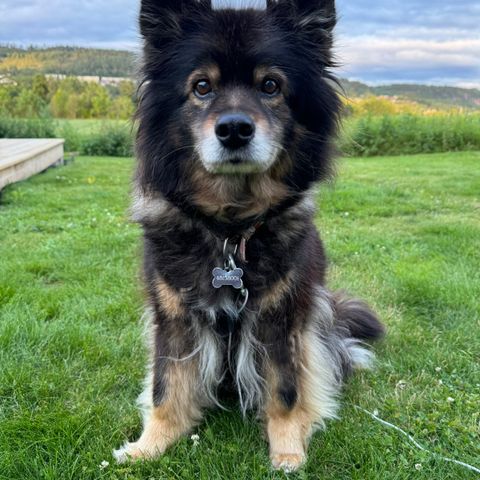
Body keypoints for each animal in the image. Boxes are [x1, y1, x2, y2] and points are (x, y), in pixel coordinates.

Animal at [114, 0, 384, 472]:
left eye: (270, 85)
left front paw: (288, 451)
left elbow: (286, 391)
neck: (231, 230)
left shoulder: (282, 321)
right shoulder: (173, 317)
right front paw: (150, 445)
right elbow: (167, 385)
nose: (235, 129)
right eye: (201, 86)